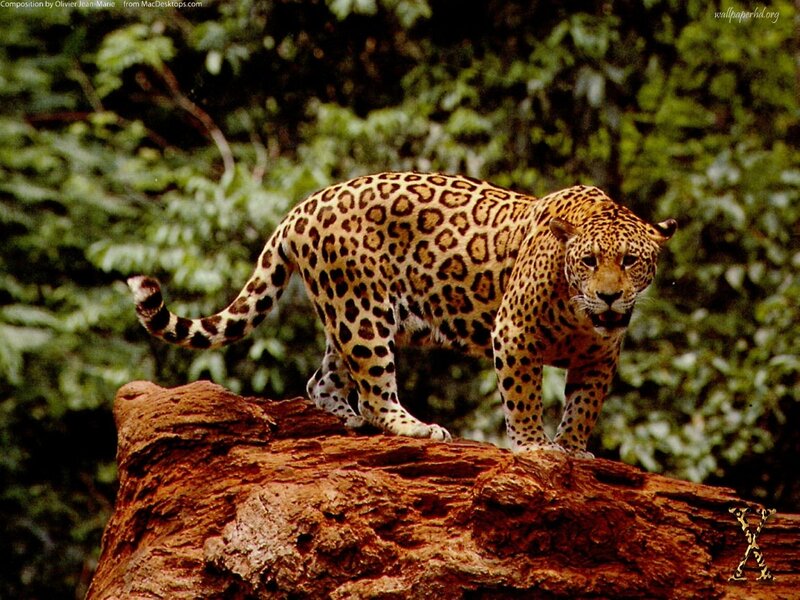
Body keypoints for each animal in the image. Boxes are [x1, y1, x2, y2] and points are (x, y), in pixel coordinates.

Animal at [128, 172, 676, 456]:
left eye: (630, 260)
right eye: (589, 261)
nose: (609, 296)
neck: (579, 311)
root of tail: (303, 206)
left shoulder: (599, 356)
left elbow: (584, 405)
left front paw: (574, 448)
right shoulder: (514, 332)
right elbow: (522, 397)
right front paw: (534, 447)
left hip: (346, 313)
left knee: (322, 381)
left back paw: (347, 421)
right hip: (363, 312)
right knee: (375, 392)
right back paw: (414, 427)